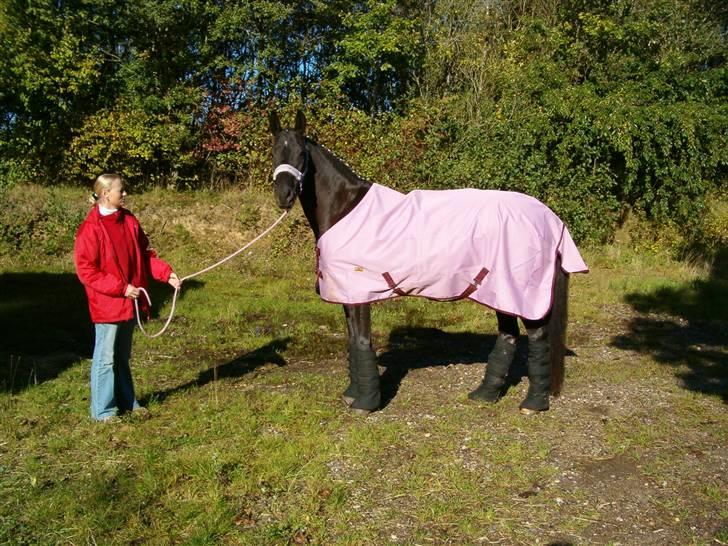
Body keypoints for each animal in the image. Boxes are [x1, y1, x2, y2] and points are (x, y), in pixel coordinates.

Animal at [270, 111, 588, 416]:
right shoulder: (347, 294)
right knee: (508, 335)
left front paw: (365, 403)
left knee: (537, 337)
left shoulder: (359, 292)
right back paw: (484, 395)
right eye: (274, 152)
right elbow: (351, 340)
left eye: (301, 154)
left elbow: (361, 341)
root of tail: (550, 217)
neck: (345, 208)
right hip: (499, 290)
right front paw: (352, 393)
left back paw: (532, 404)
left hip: (524, 293)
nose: (283, 195)